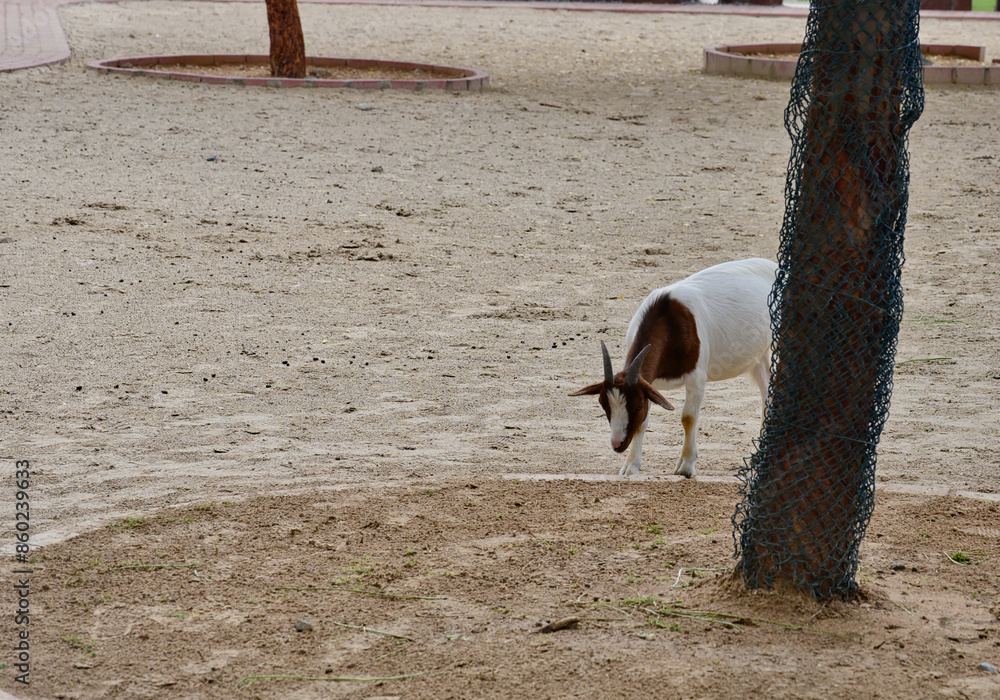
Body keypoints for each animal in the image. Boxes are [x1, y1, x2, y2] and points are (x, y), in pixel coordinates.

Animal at [570, 258, 777, 478]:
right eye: (604, 404)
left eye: (637, 406)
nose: (617, 445)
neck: (669, 316)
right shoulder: (650, 384)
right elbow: (643, 423)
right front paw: (631, 466)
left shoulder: (696, 378)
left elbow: (688, 417)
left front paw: (685, 466)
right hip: (759, 356)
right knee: (766, 394)